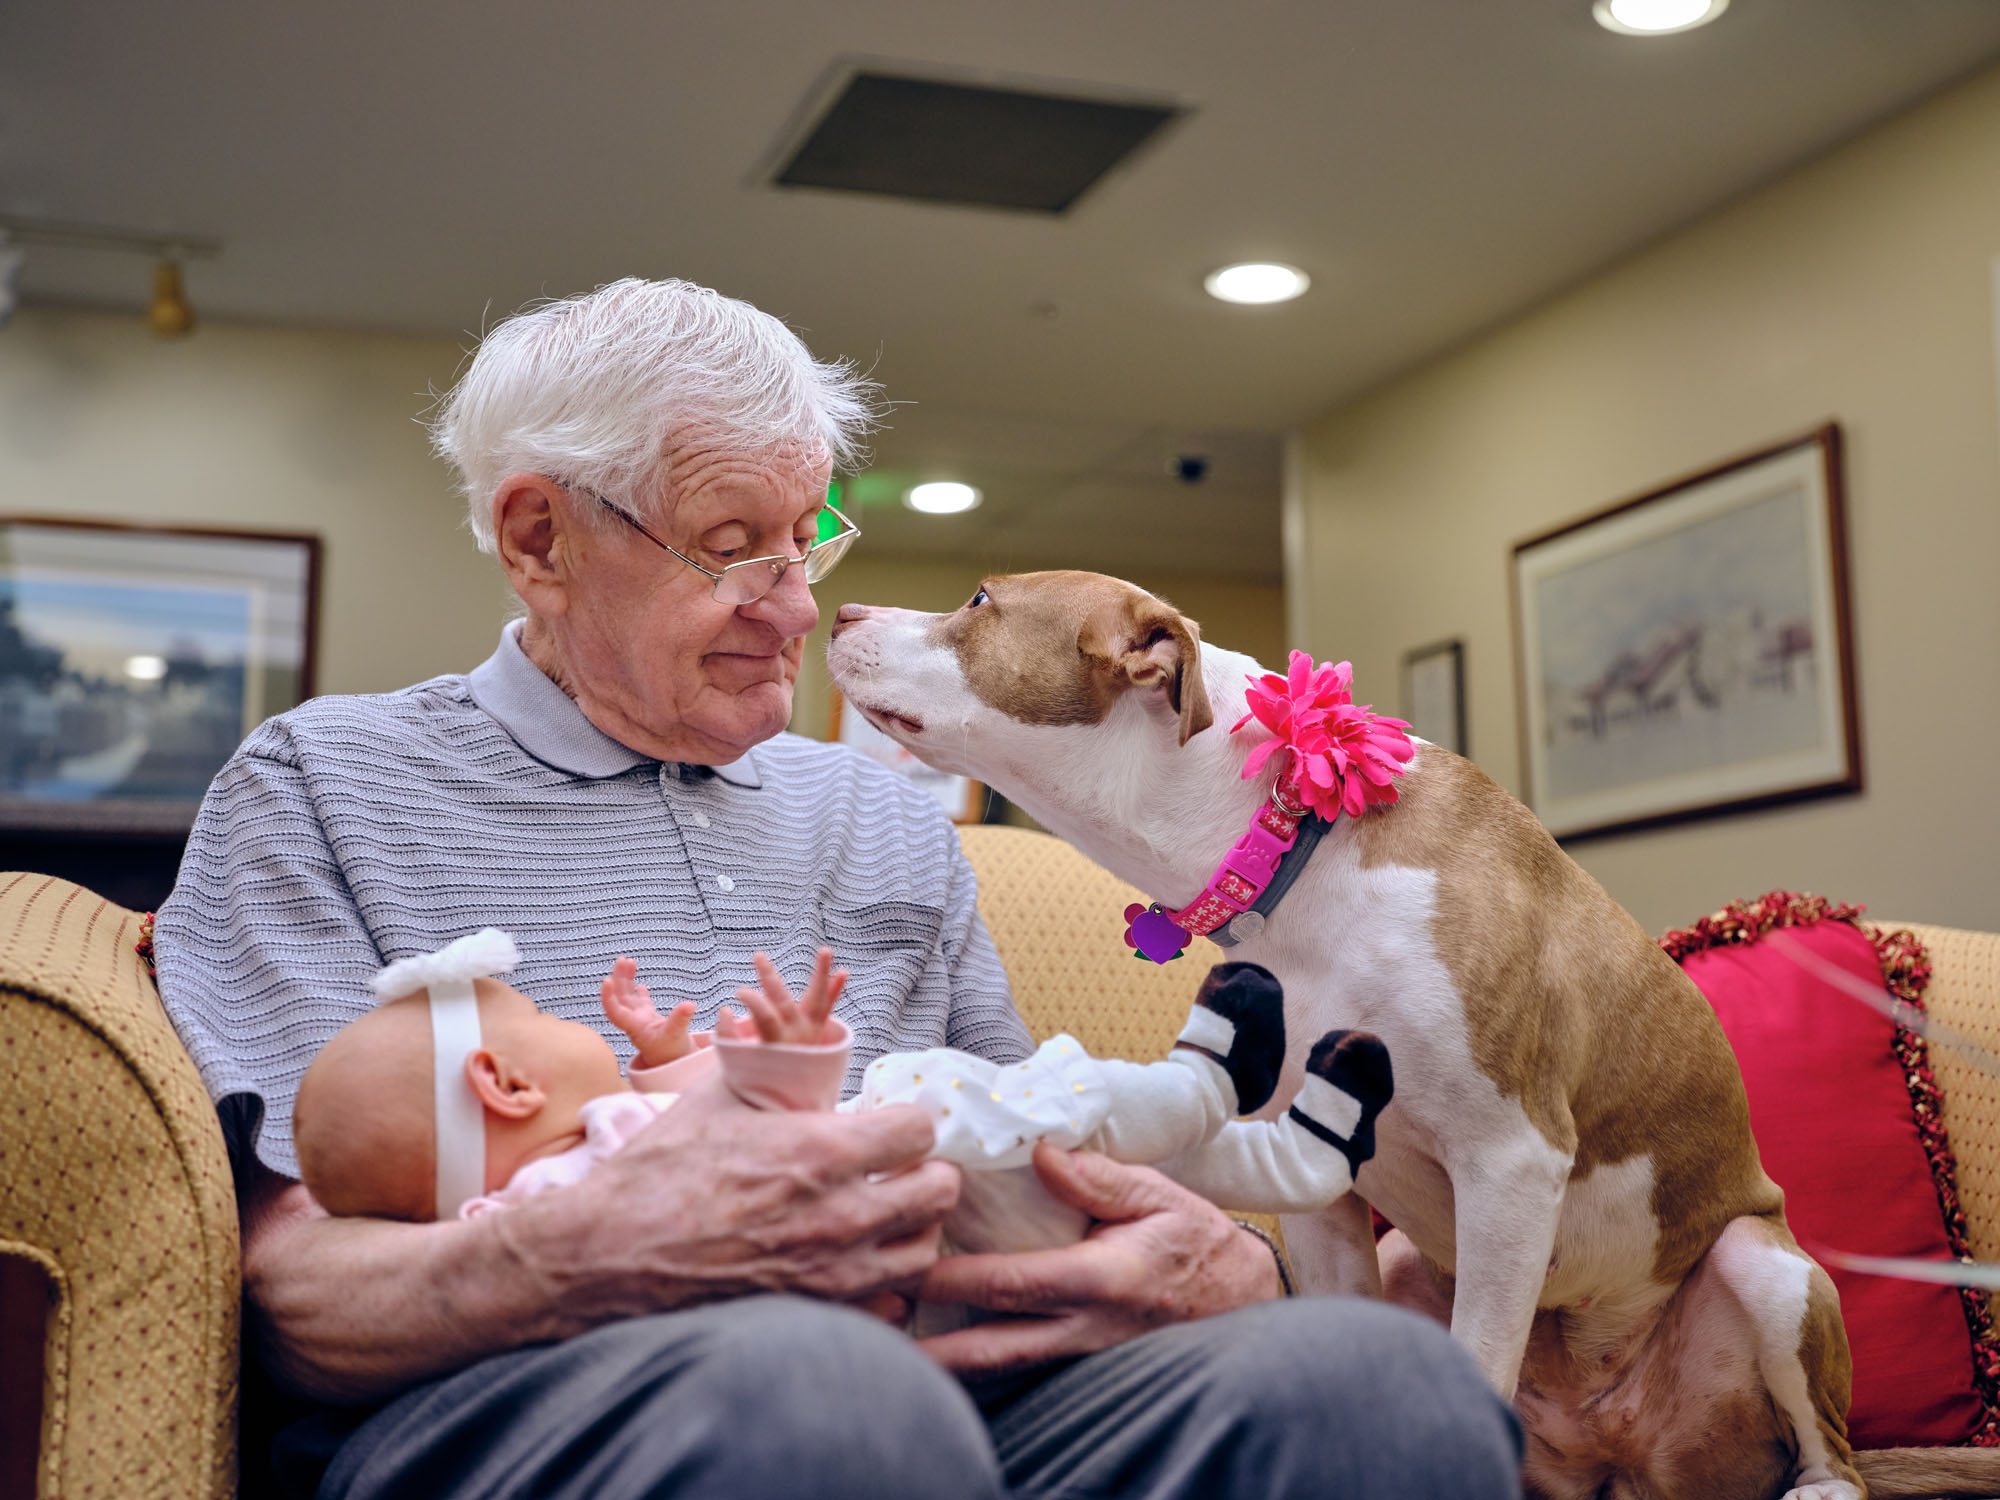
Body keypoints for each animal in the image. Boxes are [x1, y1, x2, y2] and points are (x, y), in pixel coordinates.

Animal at [828, 572, 2000, 1500]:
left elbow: (1477, 1353)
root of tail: (1618, 1454)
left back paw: (1817, 1484)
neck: (1293, 837)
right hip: (1416, 1271)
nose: (839, 606)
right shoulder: (1318, 1185)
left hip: (1766, 1270)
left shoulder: (1510, 1160)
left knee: (1827, 1449)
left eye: (979, 601)